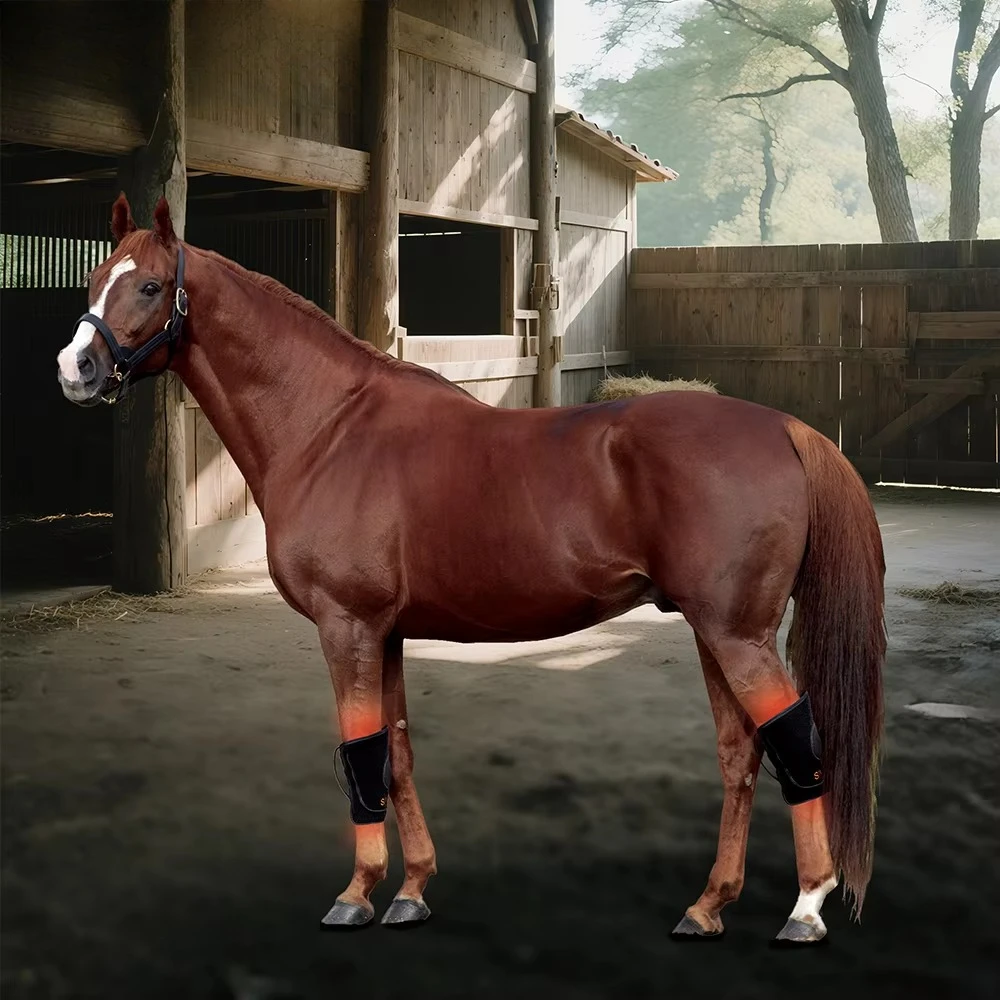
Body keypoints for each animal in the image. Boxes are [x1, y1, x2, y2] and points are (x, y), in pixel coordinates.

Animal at [56, 195, 886, 944]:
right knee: (743, 751)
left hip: (736, 634)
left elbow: (360, 756)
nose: (75, 369)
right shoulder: (384, 633)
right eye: (95, 277)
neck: (328, 427)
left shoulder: (346, 628)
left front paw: (356, 895)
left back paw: (806, 908)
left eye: (150, 286)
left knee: (796, 742)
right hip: (718, 632)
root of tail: (788, 428)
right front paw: (412, 891)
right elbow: (393, 754)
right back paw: (709, 905)